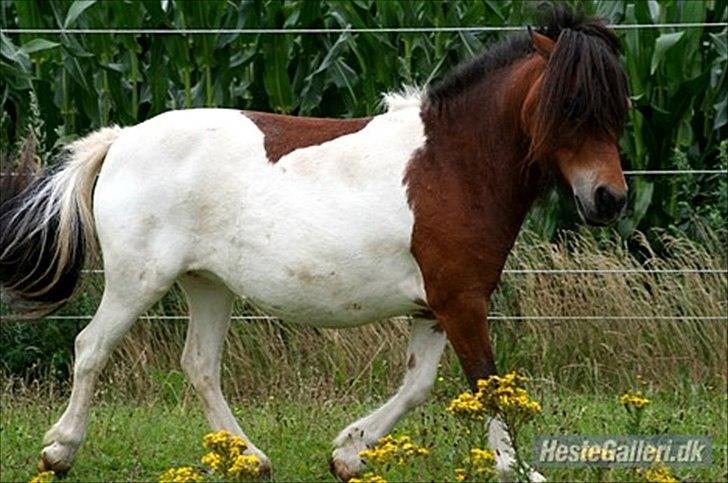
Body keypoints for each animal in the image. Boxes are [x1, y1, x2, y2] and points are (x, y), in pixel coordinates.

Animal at [0, 5, 624, 482]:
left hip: (209, 285)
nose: (609, 199)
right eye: (572, 107)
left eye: (619, 110)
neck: (454, 165)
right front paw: (519, 469)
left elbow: (419, 385)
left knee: (199, 363)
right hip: (139, 279)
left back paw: (249, 459)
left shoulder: (437, 307)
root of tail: (122, 139)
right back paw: (59, 452)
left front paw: (348, 453)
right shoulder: (462, 301)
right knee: (91, 347)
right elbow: (488, 385)